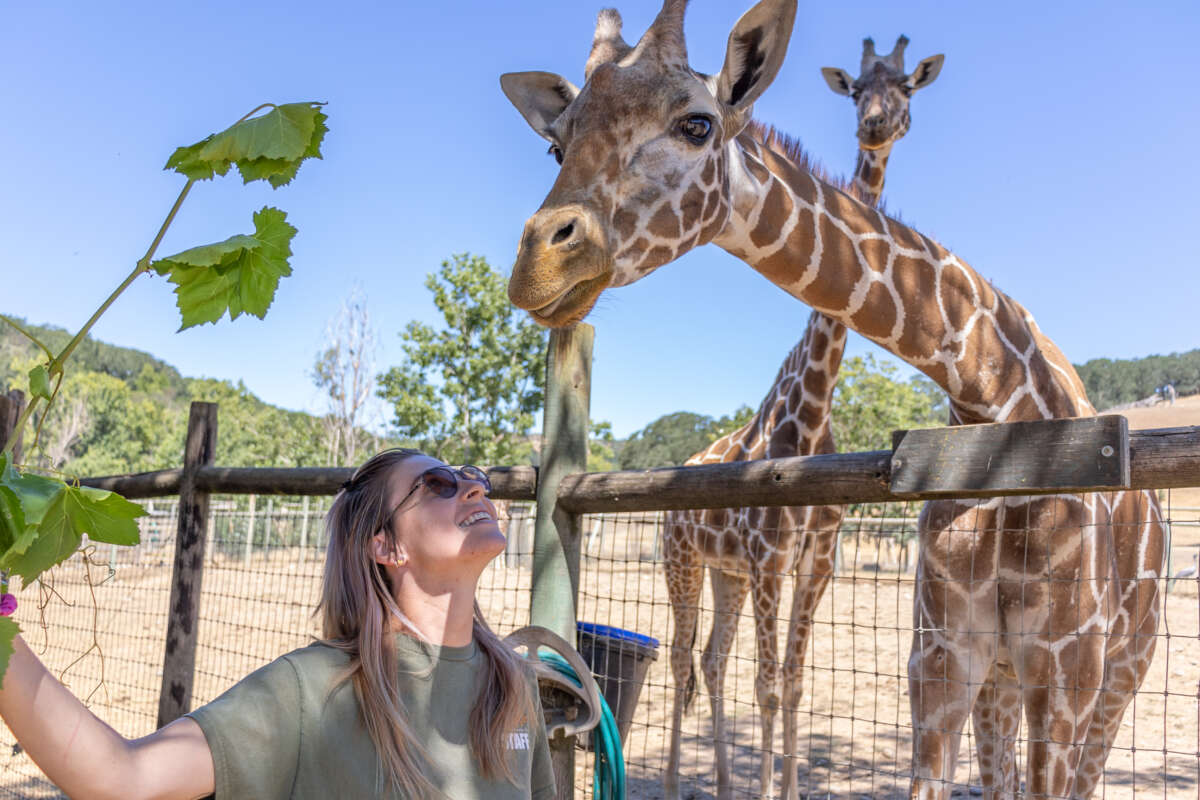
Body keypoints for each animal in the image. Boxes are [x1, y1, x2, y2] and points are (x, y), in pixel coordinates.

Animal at [499, 1, 1164, 797]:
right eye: (555, 146)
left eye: (697, 124)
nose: (537, 263)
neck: (995, 397)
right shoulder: (936, 659)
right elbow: (779, 685)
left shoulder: (1061, 671)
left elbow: (788, 680)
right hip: (703, 564)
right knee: (696, 661)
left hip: (1116, 674)